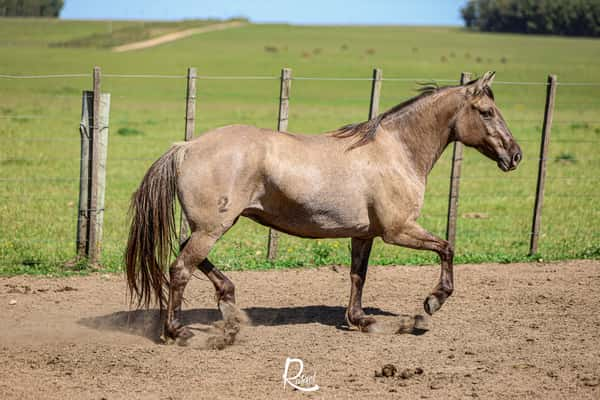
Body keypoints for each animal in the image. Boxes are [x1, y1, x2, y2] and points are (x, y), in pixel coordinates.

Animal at [125, 72, 520, 340]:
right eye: (486, 112)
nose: (515, 155)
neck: (396, 151)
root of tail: (185, 147)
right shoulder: (398, 231)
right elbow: (447, 248)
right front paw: (432, 303)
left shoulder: (365, 235)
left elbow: (358, 275)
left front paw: (361, 319)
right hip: (212, 228)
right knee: (180, 269)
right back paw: (177, 331)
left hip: (210, 226)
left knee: (188, 257)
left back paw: (228, 300)